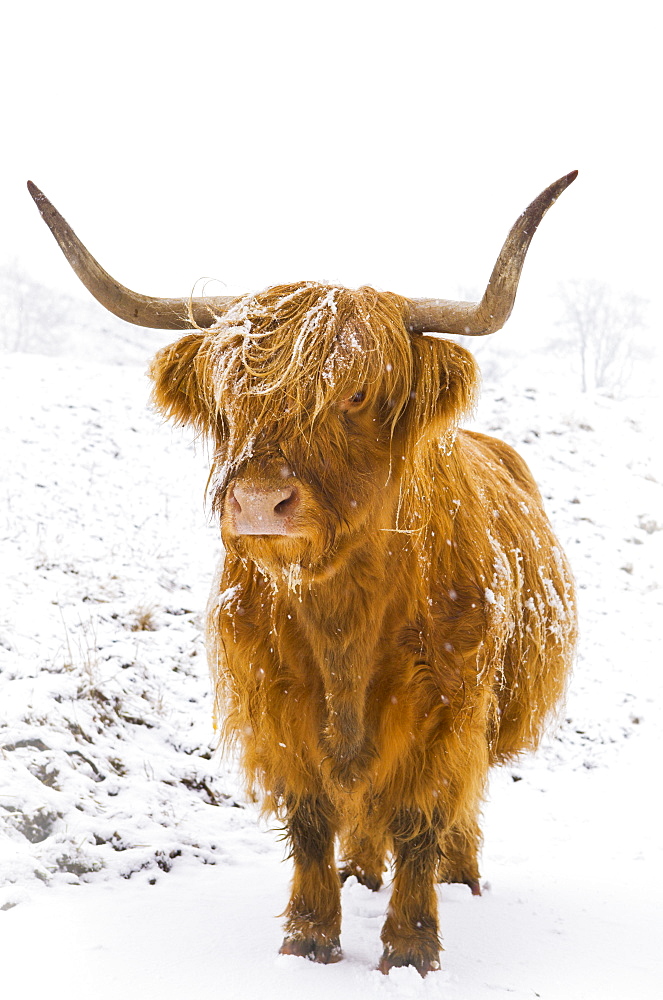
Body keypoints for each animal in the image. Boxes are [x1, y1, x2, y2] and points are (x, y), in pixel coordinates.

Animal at [29, 174, 576, 976]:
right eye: (225, 399)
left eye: (356, 394)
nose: (259, 501)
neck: (344, 617)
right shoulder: (276, 700)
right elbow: (313, 816)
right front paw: (311, 935)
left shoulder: (446, 706)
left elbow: (422, 813)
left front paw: (411, 945)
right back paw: (362, 870)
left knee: (458, 805)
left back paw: (460, 874)